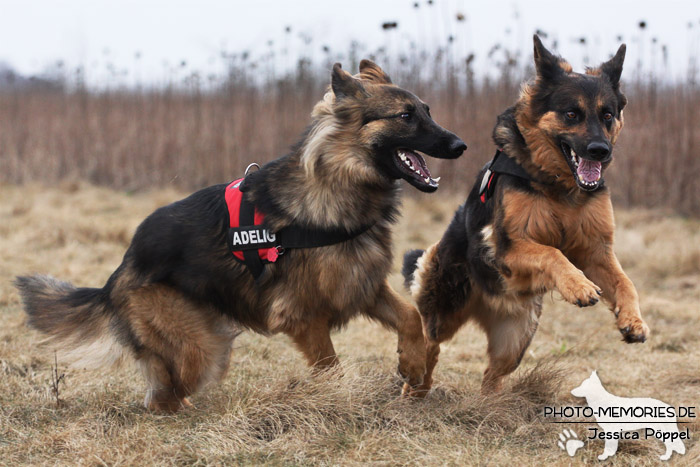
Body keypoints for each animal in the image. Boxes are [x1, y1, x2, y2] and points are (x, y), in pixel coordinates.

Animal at [15, 59, 464, 414]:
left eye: (427, 110)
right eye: (405, 116)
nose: (461, 145)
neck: (340, 179)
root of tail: (119, 270)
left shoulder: (361, 284)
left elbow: (410, 318)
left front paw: (414, 371)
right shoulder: (304, 317)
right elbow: (331, 369)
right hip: (200, 349)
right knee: (163, 394)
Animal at [404, 37, 652, 394]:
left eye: (607, 115)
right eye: (572, 114)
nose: (600, 151)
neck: (558, 185)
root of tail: (487, 305)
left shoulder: (595, 252)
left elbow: (625, 282)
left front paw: (633, 320)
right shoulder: (509, 249)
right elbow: (551, 253)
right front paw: (578, 286)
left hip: (515, 340)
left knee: (491, 376)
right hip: (443, 312)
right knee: (429, 344)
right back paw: (415, 388)